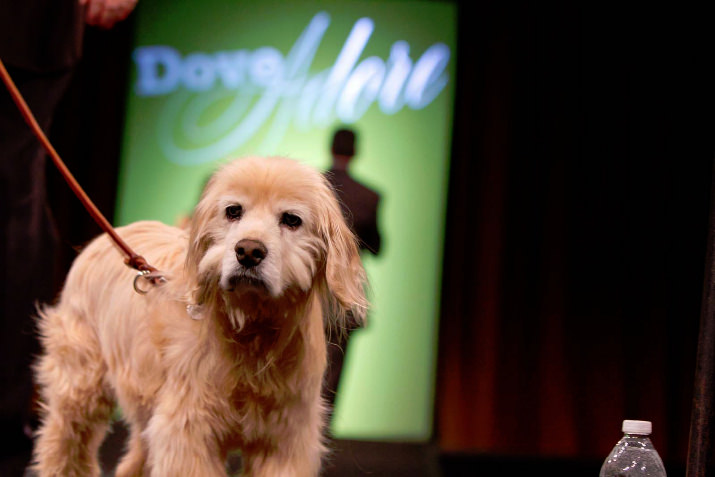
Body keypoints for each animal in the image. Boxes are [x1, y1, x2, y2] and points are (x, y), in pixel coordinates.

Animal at [30, 157, 366, 476]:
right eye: (233, 211)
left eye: (292, 220)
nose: (248, 251)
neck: (251, 330)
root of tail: (109, 237)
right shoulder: (187, 432)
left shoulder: (285, 441)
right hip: (80, 385)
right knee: (63, 442)